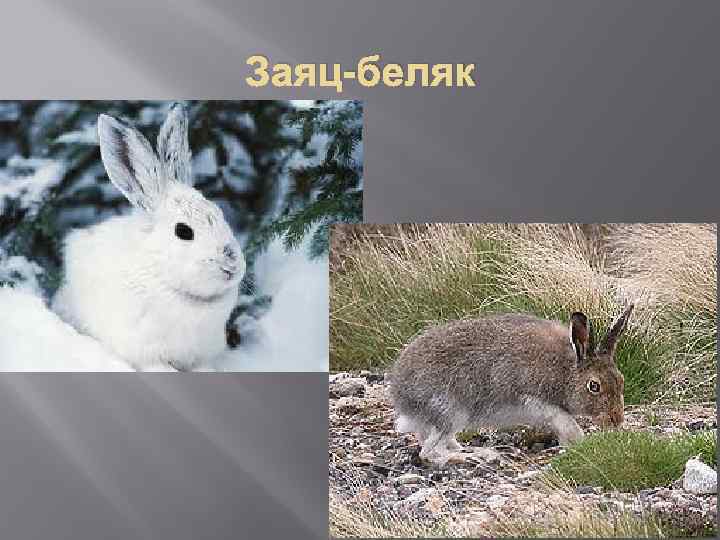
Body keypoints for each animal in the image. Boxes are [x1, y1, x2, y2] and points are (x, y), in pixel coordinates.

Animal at [390, 305, 633, 466]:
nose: (617, 419)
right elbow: (563, 420)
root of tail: (401, 397)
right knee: (429, 452)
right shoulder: (531, 397)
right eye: (594, 386)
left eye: (621, 380)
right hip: (449, 412)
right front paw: (579, 442)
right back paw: (475, 456)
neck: (568, 371)